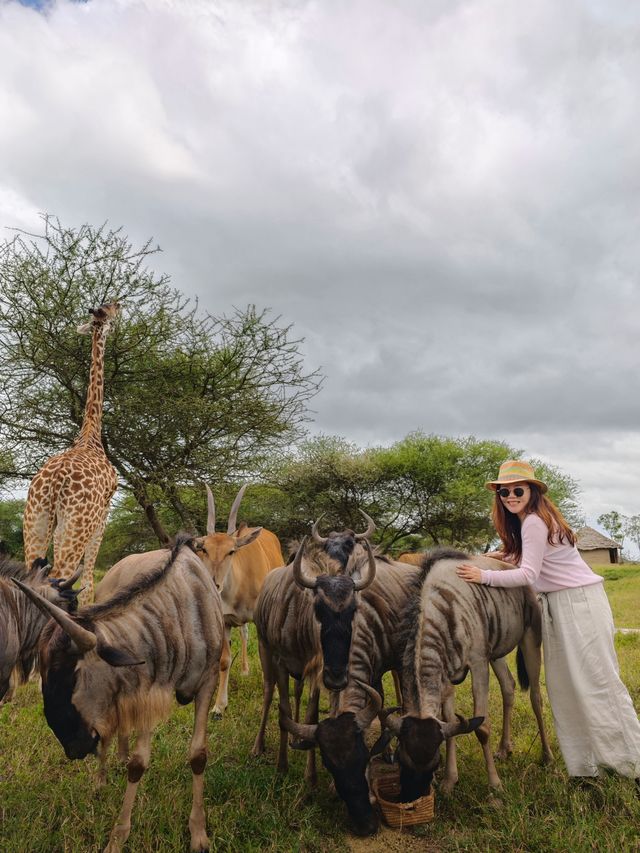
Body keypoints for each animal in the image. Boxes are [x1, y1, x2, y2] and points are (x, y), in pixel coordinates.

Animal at [23, 302, 121, 604]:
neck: (90, 434)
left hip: (36, 518)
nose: (120, 304)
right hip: (77, 525)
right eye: (110, 309)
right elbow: (89, 582)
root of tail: (55, 482)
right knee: (61, 577)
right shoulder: (102, 520)